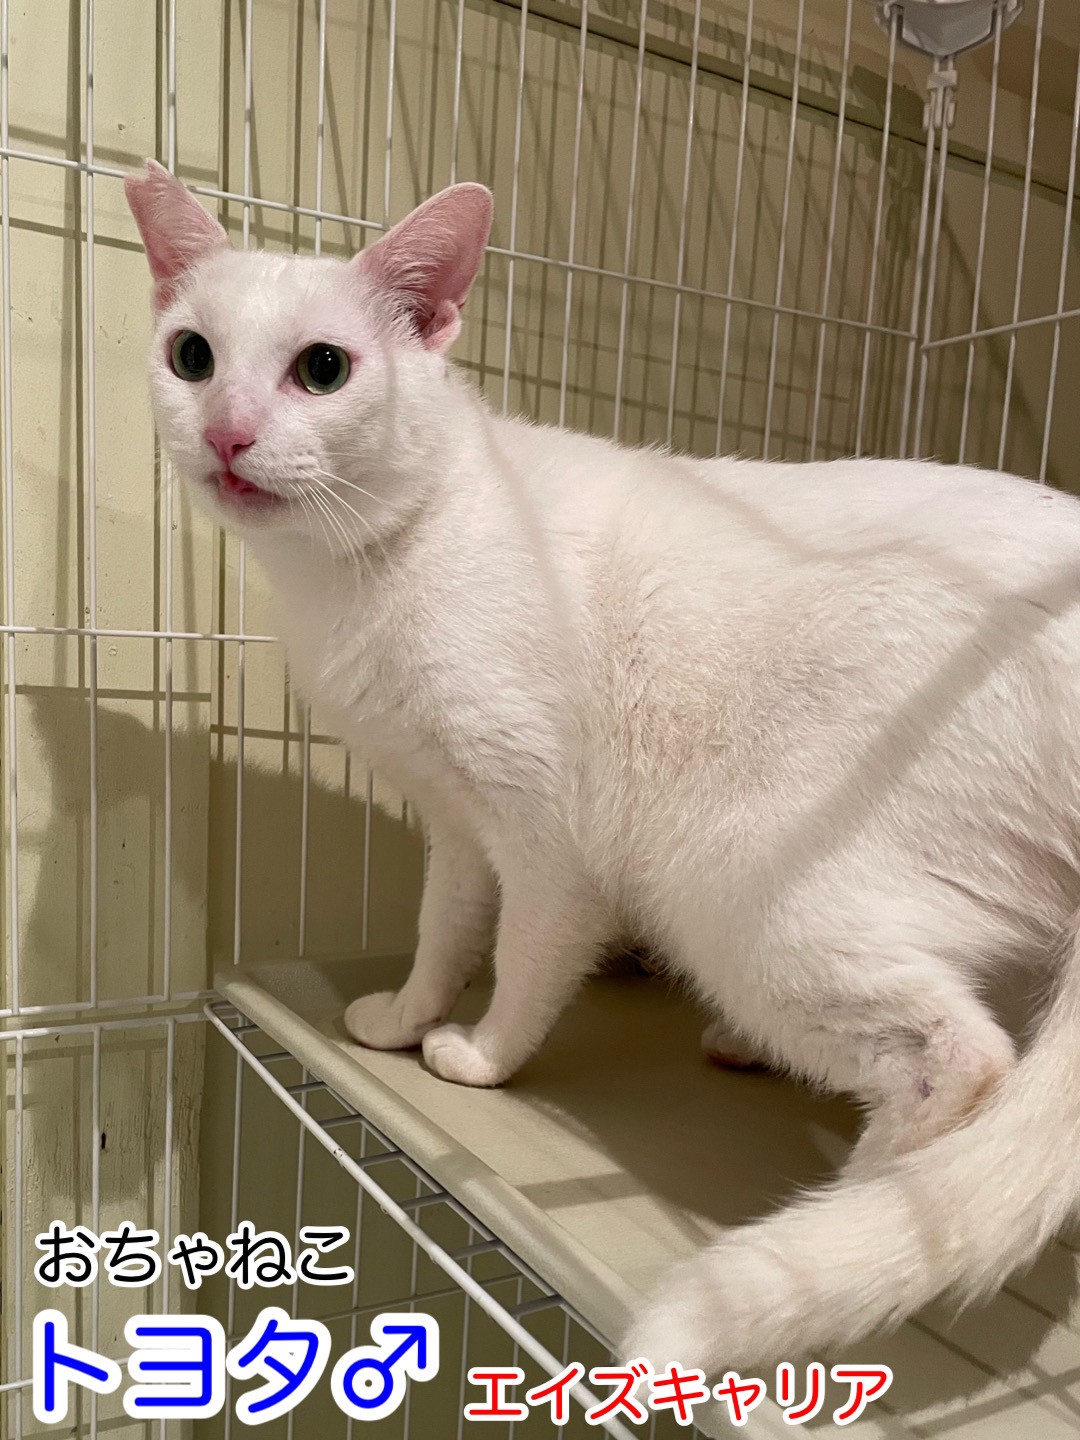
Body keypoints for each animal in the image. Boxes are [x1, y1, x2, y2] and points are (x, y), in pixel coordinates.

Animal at [126, 159, 1080, 1374]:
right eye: (193, 356)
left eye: (323, 369)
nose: (230, 433)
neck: (362, 569)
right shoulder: (457, 822)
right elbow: (445, 931)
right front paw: (405, 1019)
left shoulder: (545, 832)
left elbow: (527, 960)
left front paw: (479, 1054)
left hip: (733, 879)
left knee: (960, 1063)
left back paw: (845, 1210)